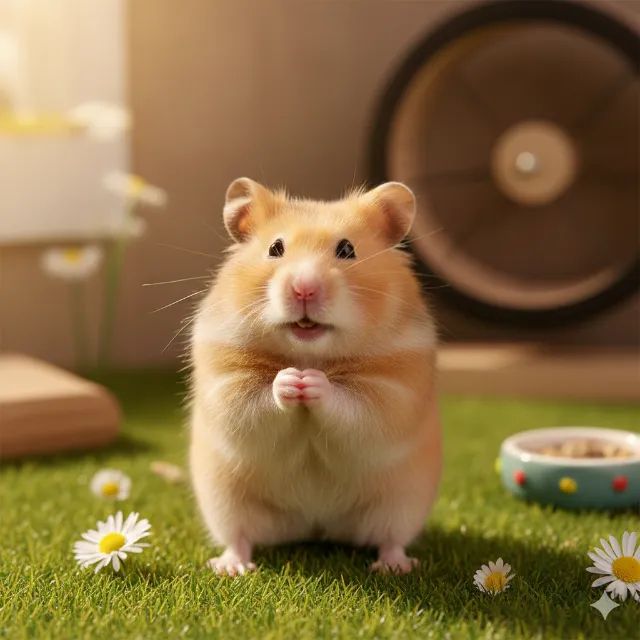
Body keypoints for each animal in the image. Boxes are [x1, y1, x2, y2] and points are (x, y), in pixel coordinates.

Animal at [189, 177, 441, 576]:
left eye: (347, 249)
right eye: (275, 248)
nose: (304, 289)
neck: (310, 353)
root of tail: (316, 525)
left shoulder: (395, 392)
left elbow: (355, 406)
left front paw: (311, 382)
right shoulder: (225, 382)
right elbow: (252, 399)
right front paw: (292, 379)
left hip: (402, 501)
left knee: (391, 539)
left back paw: (395, 566)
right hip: (225, 500)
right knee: (238, 537)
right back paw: (232, 567)